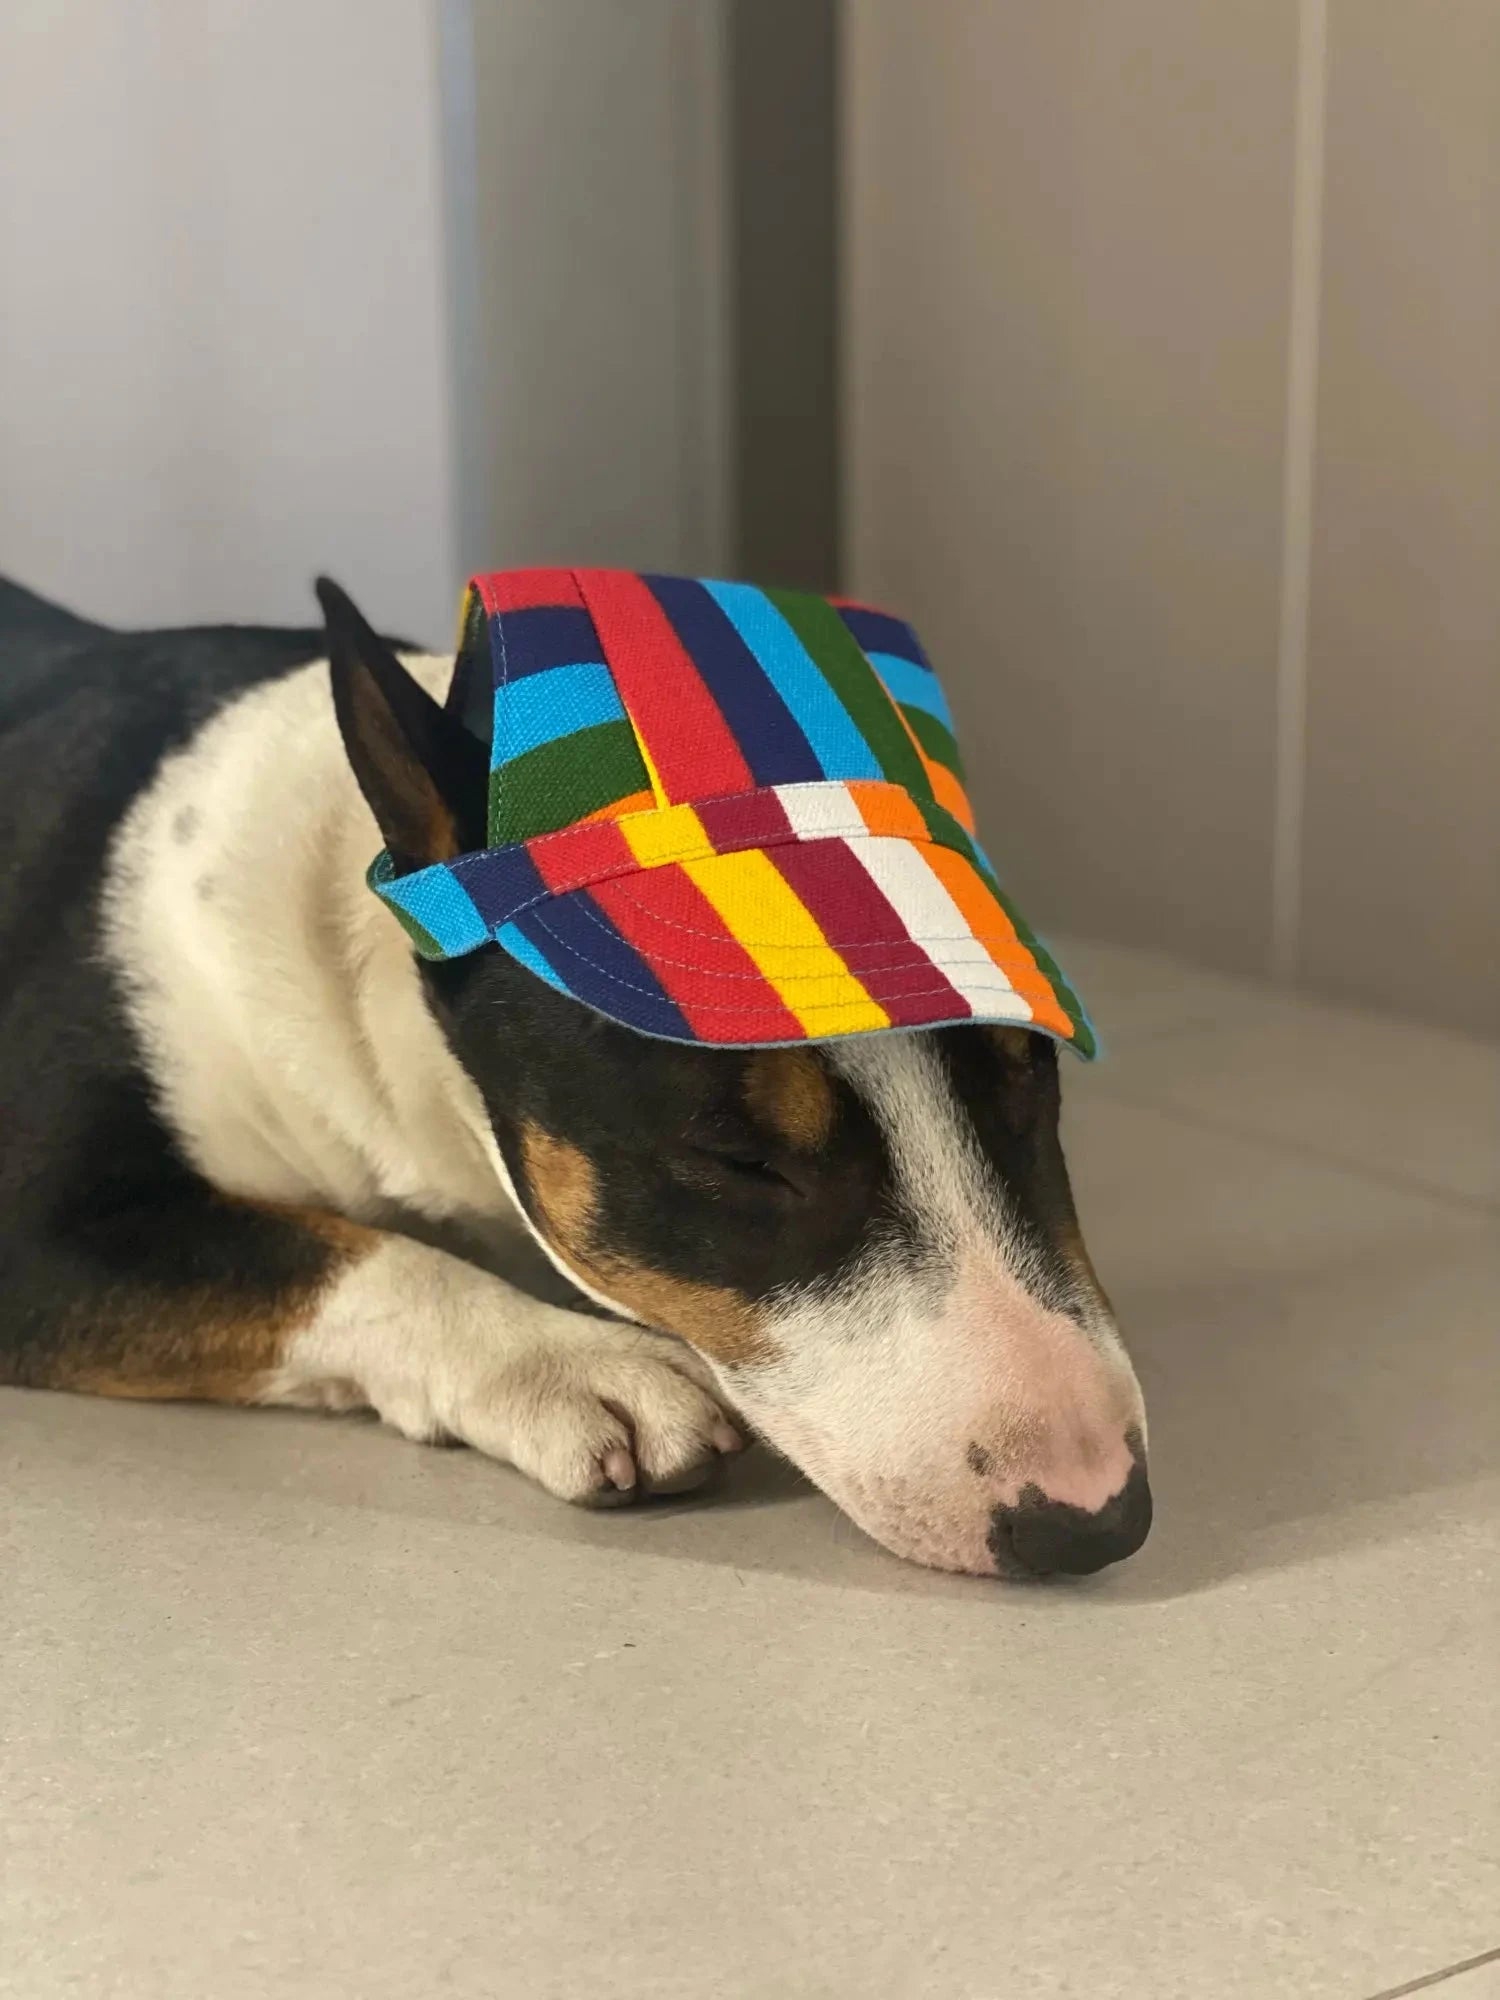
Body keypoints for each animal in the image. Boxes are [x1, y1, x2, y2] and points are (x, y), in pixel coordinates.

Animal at [0, 568, 1152, 1576]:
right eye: (736, 1157)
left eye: (1033, 1071)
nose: (1098, 1522)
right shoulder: (33, 1227)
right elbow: (343, 1254)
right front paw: (574, 1364)